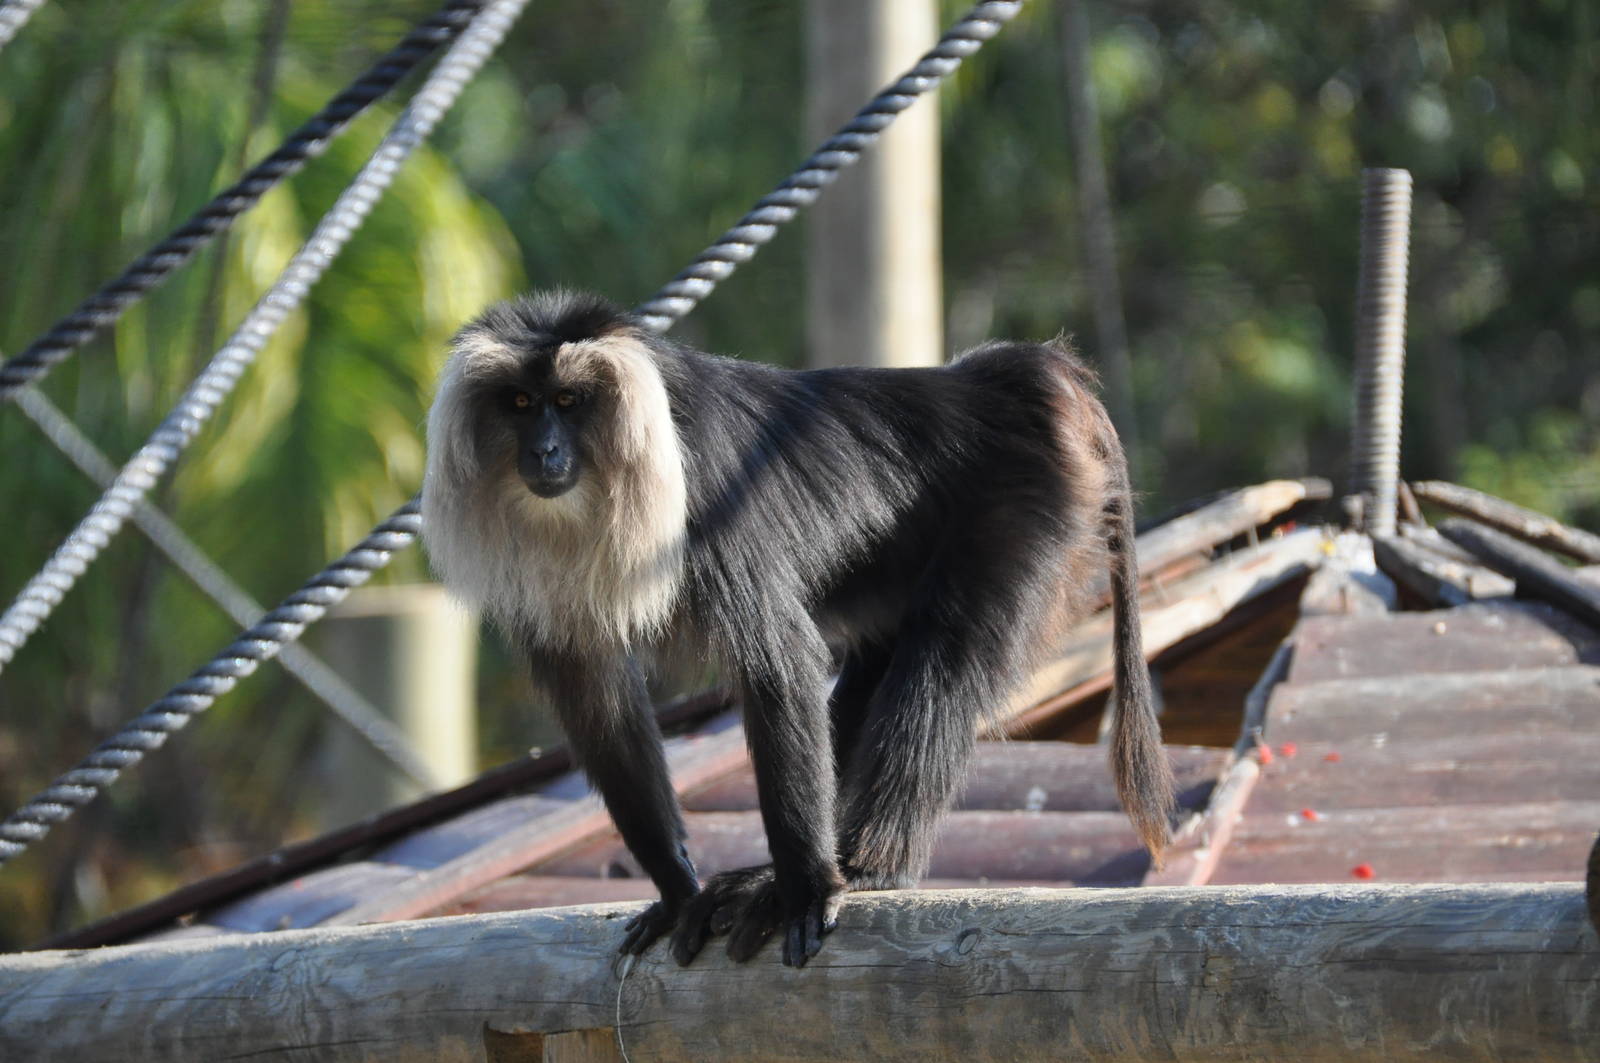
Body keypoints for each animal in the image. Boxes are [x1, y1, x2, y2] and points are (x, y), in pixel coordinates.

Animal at [421, 289, 1174, 968]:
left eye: (570, 402)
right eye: (521, 404)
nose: (545, 451)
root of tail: (996, 376)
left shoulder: (709, 494)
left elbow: (777, 663)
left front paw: (807, 889)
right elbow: (597, 705)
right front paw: (677, 890)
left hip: (1019, 502)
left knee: (945, 661)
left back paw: (867, 870)